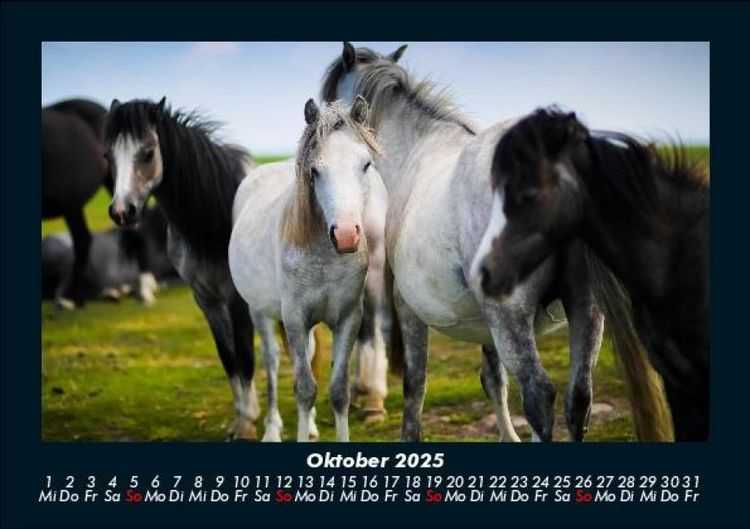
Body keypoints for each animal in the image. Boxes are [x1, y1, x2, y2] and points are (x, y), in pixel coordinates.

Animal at [104, 97, 260, 440]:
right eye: (108, 156)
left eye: (148, 152)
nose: (122, 212)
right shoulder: (206, 300)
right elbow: (229, 357)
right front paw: (242, 418)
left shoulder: (236, 300)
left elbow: (245, 356)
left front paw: (246, 425)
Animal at [229, 97, 385, 442]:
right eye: (315, 170)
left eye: (366, 165)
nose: (345, 235)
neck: (325, 257)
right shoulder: (295, 320)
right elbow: (304, 389)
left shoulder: (348, 319)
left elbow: (338, 390)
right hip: (260, 313)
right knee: (272, 362)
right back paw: (272, 430)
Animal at [321, 42, 670, 442]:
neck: (419, 150)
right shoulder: (484, 320)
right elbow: (493, 380)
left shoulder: (409, 307)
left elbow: (415, 383)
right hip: (584, 309)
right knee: (579, 398)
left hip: (511, 315)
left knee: (539, 396)